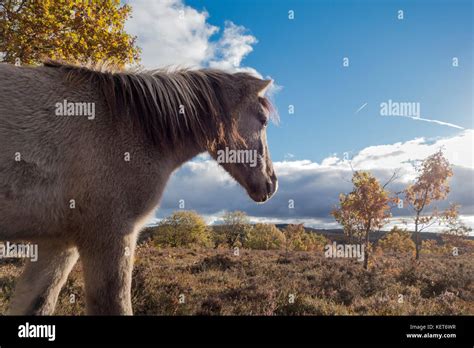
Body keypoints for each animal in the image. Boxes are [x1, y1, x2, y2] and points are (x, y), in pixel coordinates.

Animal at [0, 60, 278, 316]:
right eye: (263, 121)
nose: (272, 183)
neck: (128, 126)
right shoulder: (112, 236)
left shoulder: (59, 243)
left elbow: (38, 304)